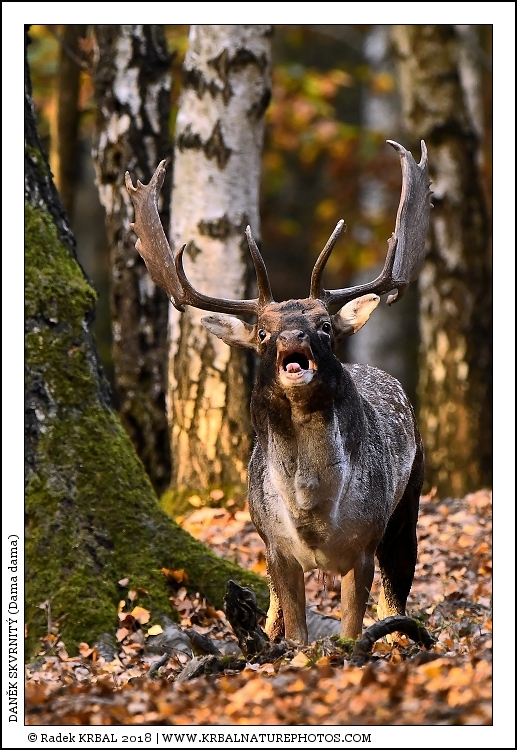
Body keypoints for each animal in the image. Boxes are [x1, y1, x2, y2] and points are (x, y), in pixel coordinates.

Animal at [125, 139, 432, 645]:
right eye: (264, 333)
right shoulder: (276, 547)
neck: (312, 511)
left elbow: (352, 629)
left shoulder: (363, 546)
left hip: (407, 505)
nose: (293, 338)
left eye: (324, 325)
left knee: (396, 600)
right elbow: (295, 636)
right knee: (272, 612)